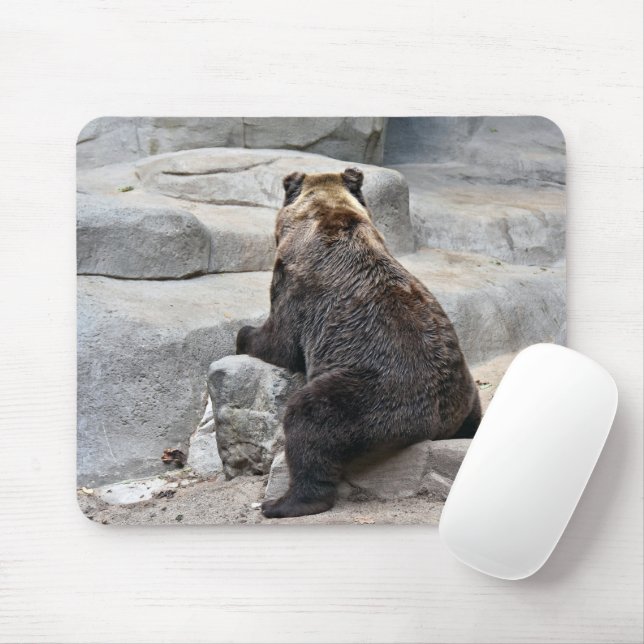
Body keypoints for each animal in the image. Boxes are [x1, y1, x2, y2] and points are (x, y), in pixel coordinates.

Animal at [236, 167, 481, 518]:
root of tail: (436, 423)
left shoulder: (296, 285)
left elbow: (281, 342)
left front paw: (243, 334)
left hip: (374, 393)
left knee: (310, 417)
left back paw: (284, 502)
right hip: (463, 388)